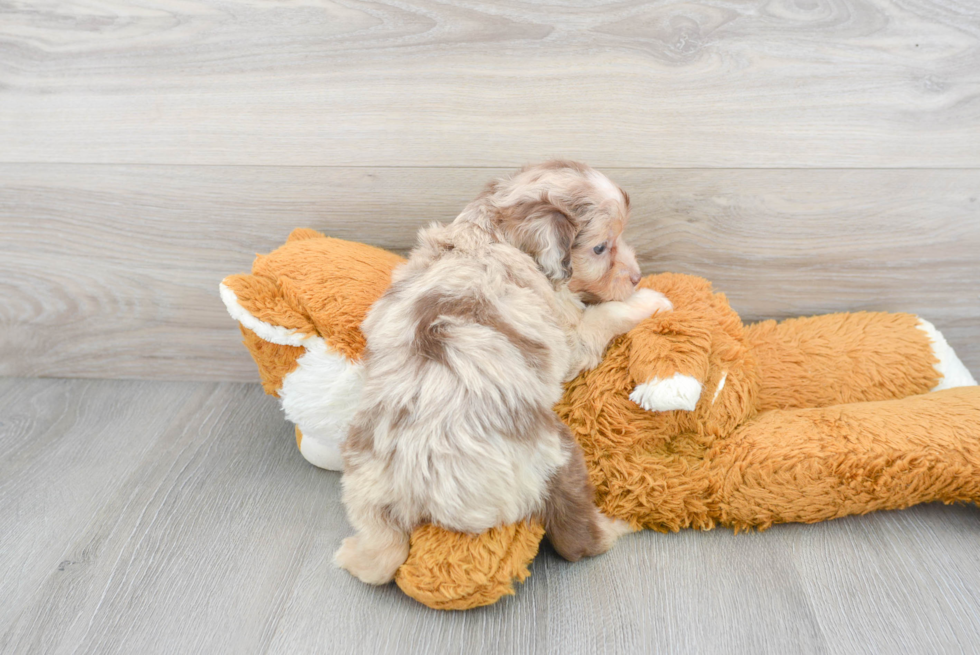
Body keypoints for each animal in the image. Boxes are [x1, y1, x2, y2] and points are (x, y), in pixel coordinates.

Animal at [334, 159, 668, 584]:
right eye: (599, 248)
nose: (638, 275)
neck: (491, 234)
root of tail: (427, 489)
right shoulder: (568, 336)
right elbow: (604, 315)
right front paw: (650, 299)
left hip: (365, 487)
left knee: (379, 559)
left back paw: (353, 554)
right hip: (557, 458)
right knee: (576, 539)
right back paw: (614, 527)